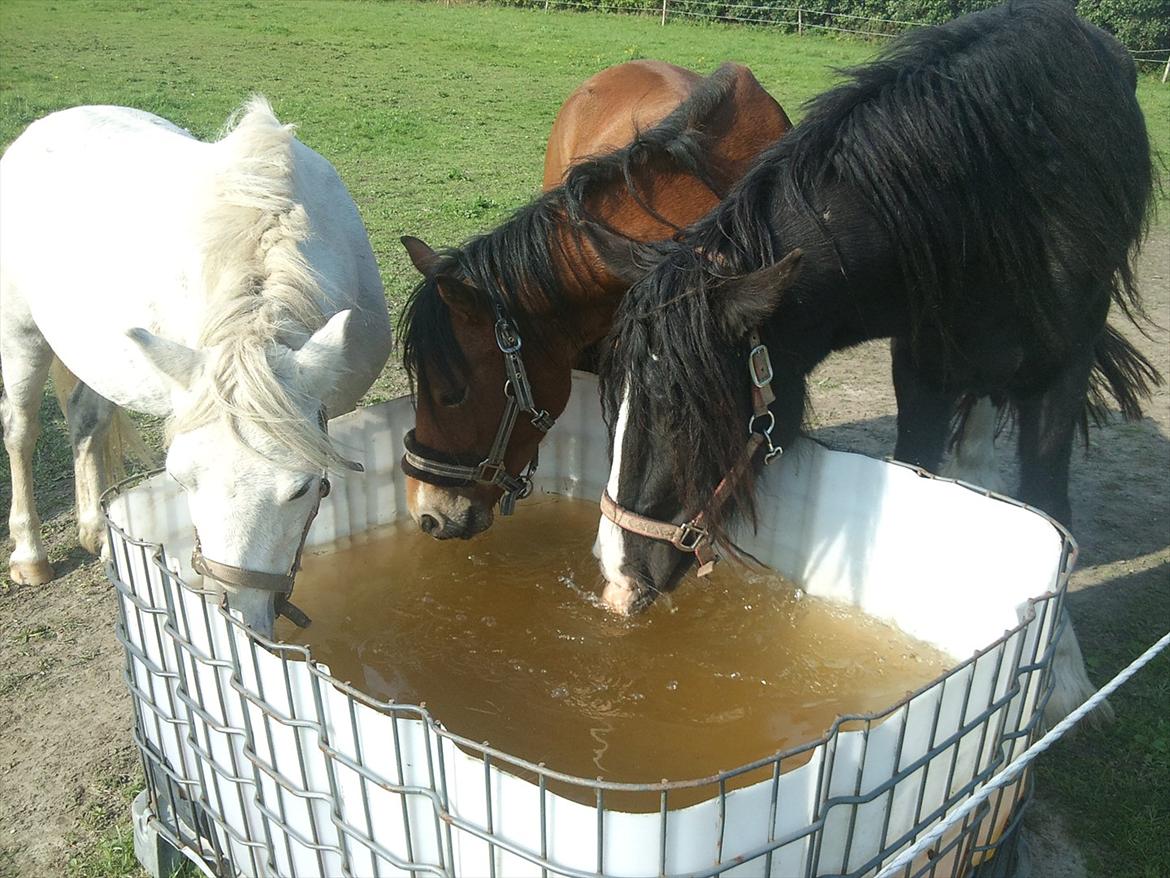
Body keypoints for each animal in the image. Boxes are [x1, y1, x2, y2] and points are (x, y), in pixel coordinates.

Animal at [0, 97, 395, 641]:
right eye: (180, 479)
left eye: (301, 488)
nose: (232, 617)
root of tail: (44, 126)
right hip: (20, 338)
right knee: (21, 432)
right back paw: (30, 555)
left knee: (86, 420)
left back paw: (98, 531)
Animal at [599, 0, 1155, 725]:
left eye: (679, 410)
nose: (617, 577)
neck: (989, 190)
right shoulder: (922, 367)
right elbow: (920, 476)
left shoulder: (1061, 369)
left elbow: (1049, 503)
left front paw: (1063, 679)